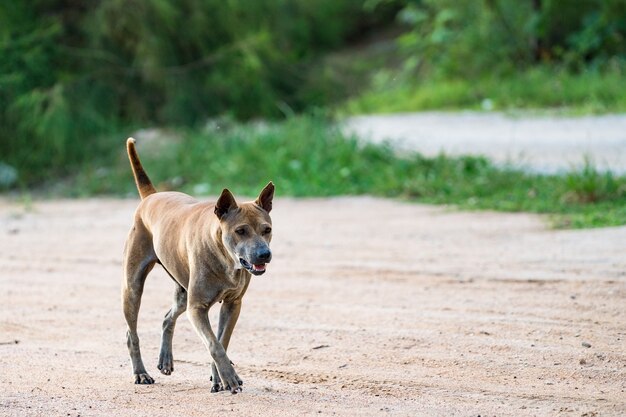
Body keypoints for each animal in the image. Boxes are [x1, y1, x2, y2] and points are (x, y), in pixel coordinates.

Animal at [120, 137, 272, 394]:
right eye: (240, 231)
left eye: (267, 230)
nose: (264, 254)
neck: (224, 257)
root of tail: (151, 196)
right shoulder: (197, 307)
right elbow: (214, 344)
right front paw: (228, 377)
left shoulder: (232, 304)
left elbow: (221, 341)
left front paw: (219, 377)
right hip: (133, 287)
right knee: (132, 333)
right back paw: (140, 373)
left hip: (182, 290)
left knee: (168, 317)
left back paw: (165, 359)